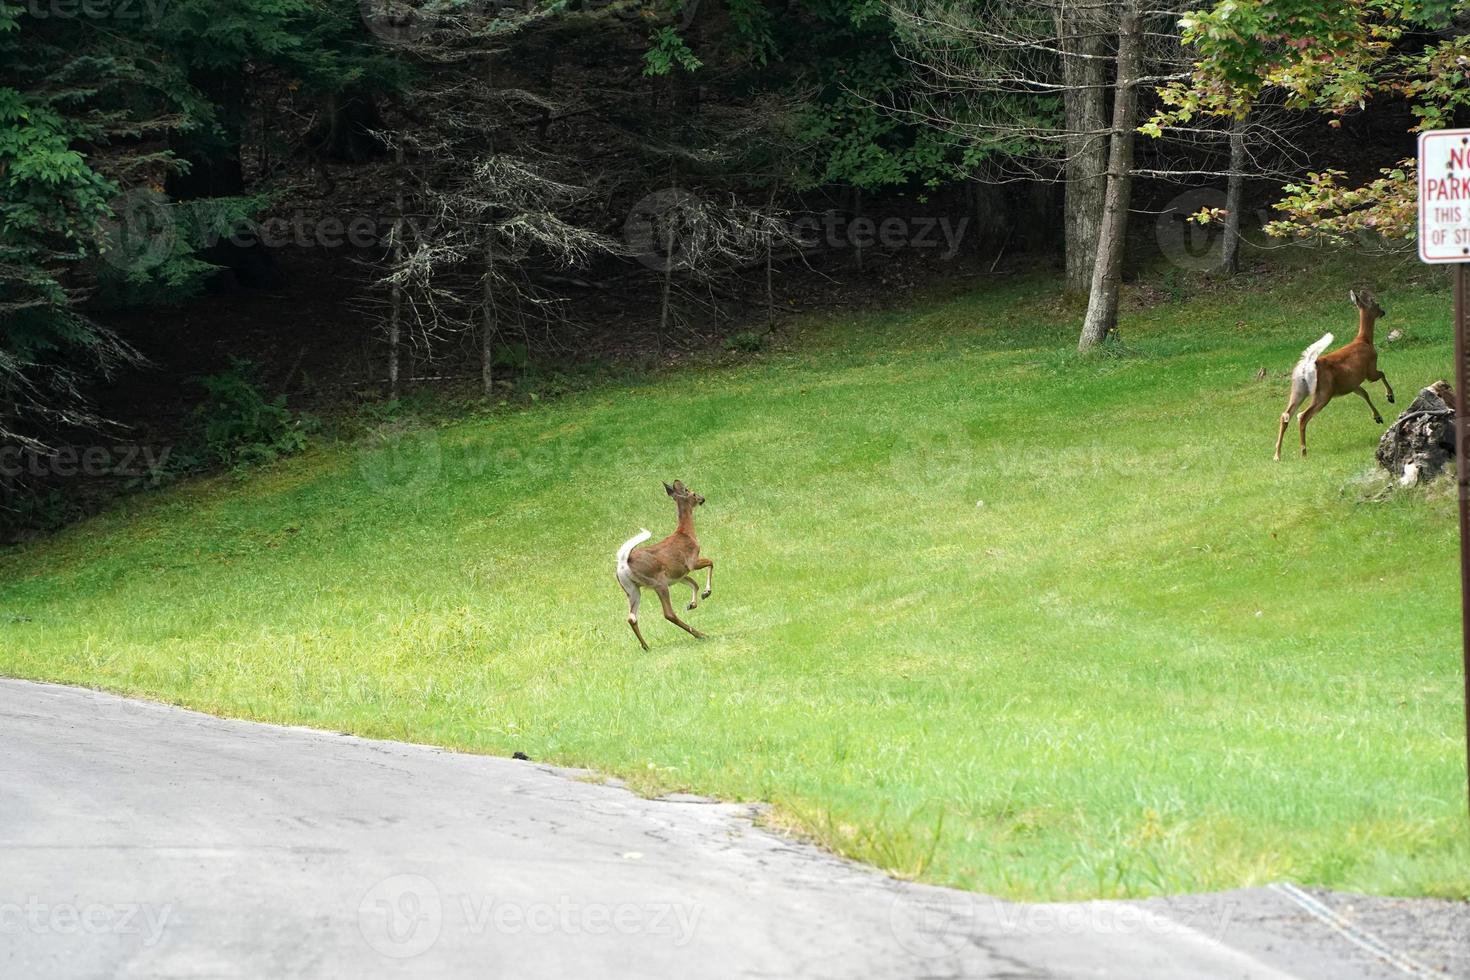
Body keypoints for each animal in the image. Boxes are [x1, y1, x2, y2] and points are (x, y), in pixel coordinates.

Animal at [611, 481, 714, 652]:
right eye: (692, 492)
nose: (702, 499)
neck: (686, 533)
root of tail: (624, 562)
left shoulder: (678, 575)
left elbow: (694, 583)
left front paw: (692, 604)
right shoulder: (691, 561)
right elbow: (711, 563)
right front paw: (706, 593)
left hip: (632, 588)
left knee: (631, 617)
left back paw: (646, 646)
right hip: (658, 582)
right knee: (668, 613)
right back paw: (700, 634)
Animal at [1270, 289, 1393, 461]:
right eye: (1377, 303)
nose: (1383, 312)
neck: (1365, 341)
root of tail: (1307, 366)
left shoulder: (1351, 384)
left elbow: (1365, 394)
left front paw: (1378, 417)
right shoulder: (1370, 370)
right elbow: (1382, 374)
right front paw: (1390, 396)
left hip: (1298, 389)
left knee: (1285, 415)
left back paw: (1277, 455)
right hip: (1323, 392)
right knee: (1302, 416)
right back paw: (1303, 452)